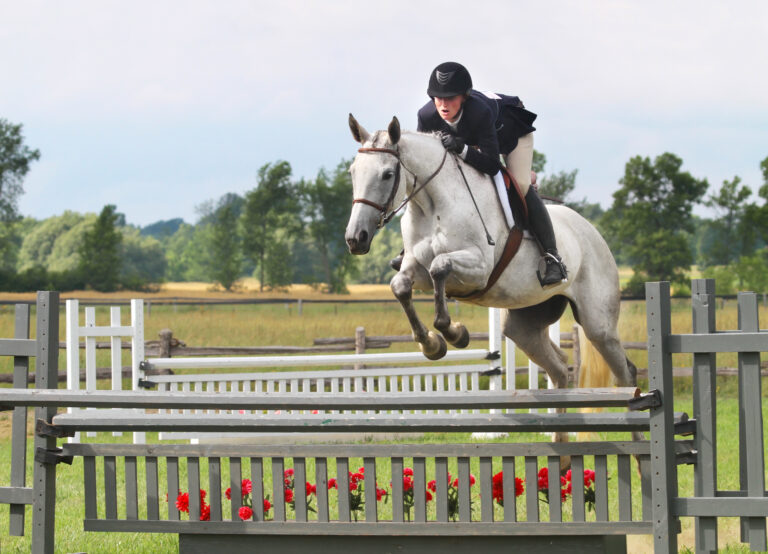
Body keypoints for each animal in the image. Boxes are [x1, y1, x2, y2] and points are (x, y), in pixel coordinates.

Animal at [344, 115, 637, 394]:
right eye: (352, 172)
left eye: (387, 174)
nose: (355, 238)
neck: (434, 206)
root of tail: (592, 231)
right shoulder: (416, 267)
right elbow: (401, 285)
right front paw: (431, 345)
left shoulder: (480, 269)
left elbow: (440, 265)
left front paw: (455, 333)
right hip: (524, 324)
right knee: (558, 367)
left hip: (598, 324)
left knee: (624, 371)